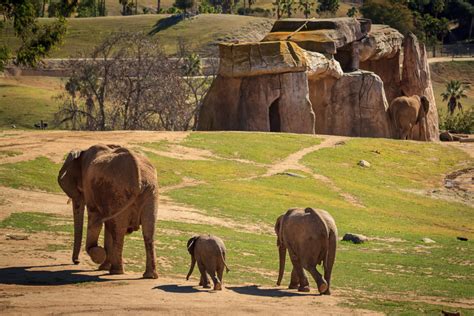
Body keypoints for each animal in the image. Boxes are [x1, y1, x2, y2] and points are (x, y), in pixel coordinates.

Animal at [58, 144, 158, 278]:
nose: (76, 262)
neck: (83, 152)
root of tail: (139, 176)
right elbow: (108, 225)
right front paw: (103, 266)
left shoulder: (90, 188)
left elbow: (95, 218)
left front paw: (100, 255)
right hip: (150, 192)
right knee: (148, 231)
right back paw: (149, 276)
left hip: (119, 191)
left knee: (118, 231)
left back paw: (116, 272)